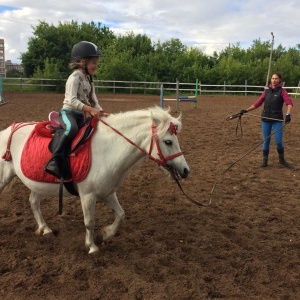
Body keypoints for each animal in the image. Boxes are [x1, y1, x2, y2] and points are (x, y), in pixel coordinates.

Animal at [0, 105, 190, 253]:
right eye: (168, 141)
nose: (185, 170)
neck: (108, 149)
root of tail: (9, 130)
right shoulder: (88, 195)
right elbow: (89, 222)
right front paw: (91, 246)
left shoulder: (107, 193)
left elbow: (121, 214)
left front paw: (104, 235)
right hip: (4, 178)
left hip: (35, 183)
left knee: (33, 203)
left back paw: (45, 229)